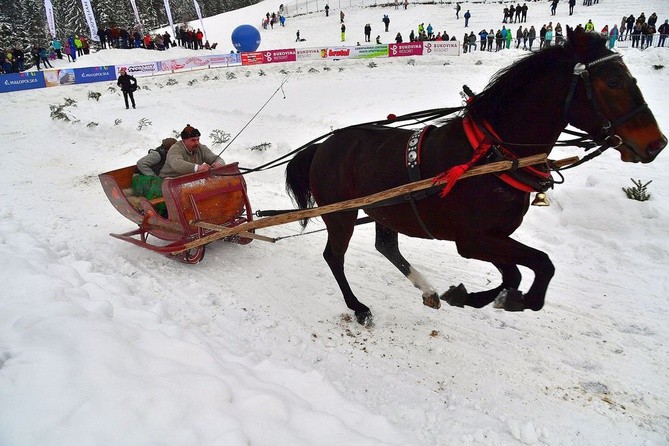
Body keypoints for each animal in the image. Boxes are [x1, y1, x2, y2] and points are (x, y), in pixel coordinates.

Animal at [282, 28, 664, 328]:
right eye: (614, 81)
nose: (657, 143)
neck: (494, 153)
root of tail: (323, 146)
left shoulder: (492, 236)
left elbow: (515, 274)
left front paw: (474, 296)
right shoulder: (473, 240)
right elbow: (541, 265)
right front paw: (507, 299)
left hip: (385, 209)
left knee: (386, 246)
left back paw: (428, 291)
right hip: (342, 214)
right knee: (334, 257)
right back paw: (359, 307)